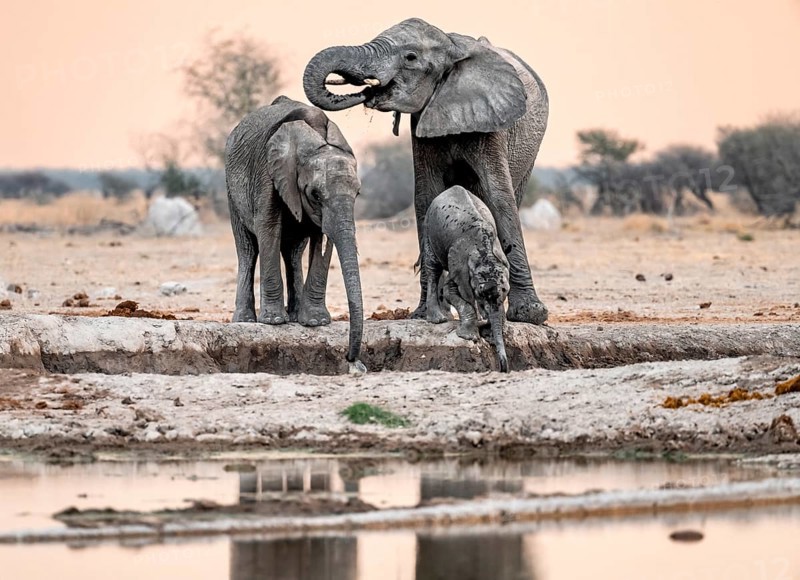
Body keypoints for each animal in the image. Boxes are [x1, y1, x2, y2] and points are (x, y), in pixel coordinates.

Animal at [225, 95, 365, 368]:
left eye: (358, 193)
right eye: (315, 194)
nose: (350, 357)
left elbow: (322, 240)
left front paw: (316, 322)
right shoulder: (267, 172)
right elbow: (269, 228)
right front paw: (273, 322)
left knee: (292, 253)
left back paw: (295, 315)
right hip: (230, 191)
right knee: (247, 250)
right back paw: (245, 320)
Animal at [303, 18, 549, 325]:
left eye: (410, 57)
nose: (367, 91)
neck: (452, 46)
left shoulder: (492, 122)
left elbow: (499, 197)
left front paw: (530, 315)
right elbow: (427, 196)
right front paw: (425, 315)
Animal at [423, 186, 510, 373]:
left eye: (506, 292)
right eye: (480, 293)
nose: (503, 368)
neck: (484, 253)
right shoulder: (459, 264)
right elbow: (452, 292)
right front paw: (470, 337)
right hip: (428, 226)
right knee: (432, 267)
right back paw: (438, 319)